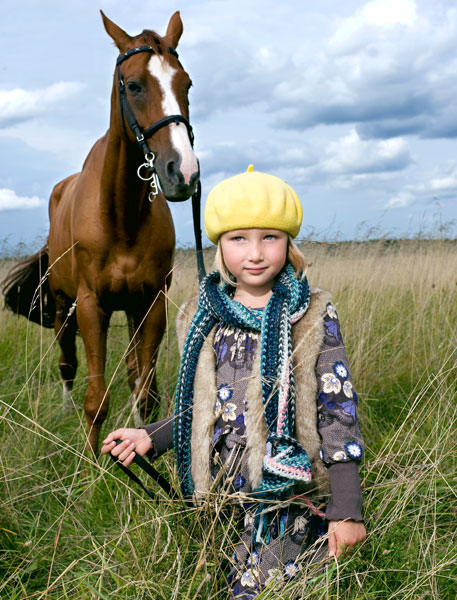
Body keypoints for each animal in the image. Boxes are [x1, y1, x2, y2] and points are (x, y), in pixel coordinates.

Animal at [3, 11, 200, 452]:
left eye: (186, 84)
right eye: (134, 85)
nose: (183, 172)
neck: (121, 216)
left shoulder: (151, 303)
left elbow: (145, 392)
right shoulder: (91, 305)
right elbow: (96, 399)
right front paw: (93, 461)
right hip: (63, 307)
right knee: (67, 363)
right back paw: (64, 408)